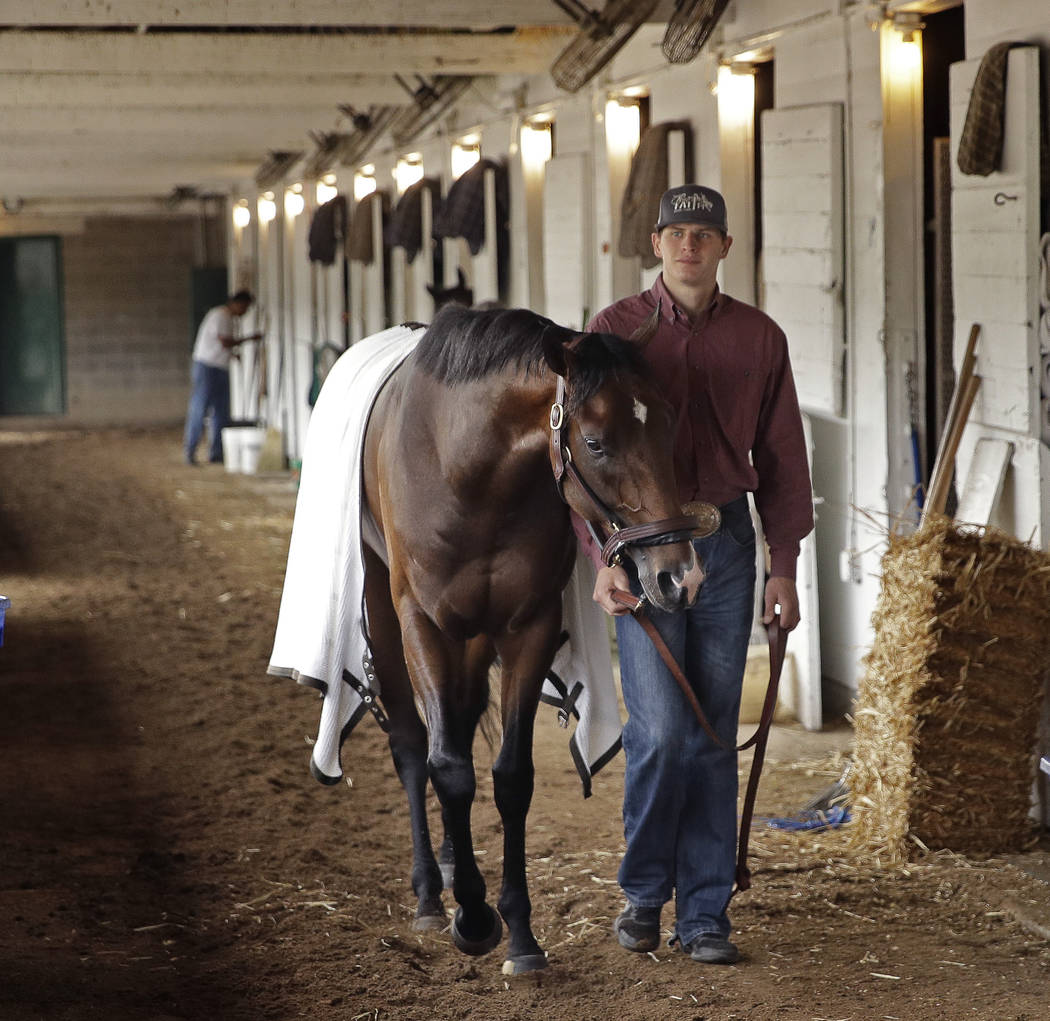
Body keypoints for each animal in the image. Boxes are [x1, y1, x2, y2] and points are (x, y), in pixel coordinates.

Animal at [361, 302, 705, 974]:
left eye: (670, 424)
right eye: (596, 443)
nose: (678, 575)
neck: (466, 471)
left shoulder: (528, 626)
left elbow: (509, 777)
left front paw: (519, 933)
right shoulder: (423, 623)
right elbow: (446, 767)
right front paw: (472, 918)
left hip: (474, 638)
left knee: (459, 721)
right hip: (385, 611)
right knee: (415, 745)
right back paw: (430, 893)